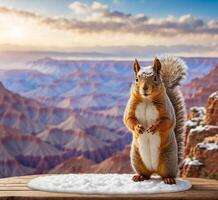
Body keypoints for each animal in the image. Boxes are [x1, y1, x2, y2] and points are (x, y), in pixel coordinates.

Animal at [123, 55, 186, 184]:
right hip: (137, 159)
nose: (145, 88)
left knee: (167, 173)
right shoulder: (130, 108)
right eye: (136, 79)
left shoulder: (167, 110)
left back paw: (169, 179)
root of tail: (154, 170)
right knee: (145, 174)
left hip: (168, 160)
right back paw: (139, 176)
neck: (146, 99)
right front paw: (138, 127)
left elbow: (167, 121)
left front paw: (154, 127)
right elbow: (128, 119)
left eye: (155, 78)